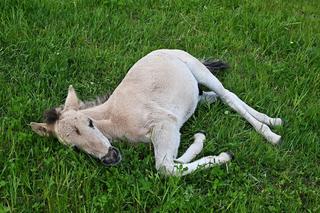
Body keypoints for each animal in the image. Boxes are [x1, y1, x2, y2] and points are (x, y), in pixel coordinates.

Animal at [30, 49, 282, 176]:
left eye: (90, 123)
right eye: (73, 147)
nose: (110, 158)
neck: (117, 119)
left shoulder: (166, 123)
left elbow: (166, 168)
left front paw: (223, 155)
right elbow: (173, 162)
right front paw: (200, 141)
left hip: (200, 70)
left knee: (229, 96)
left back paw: (271, 129)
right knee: (212, 97)